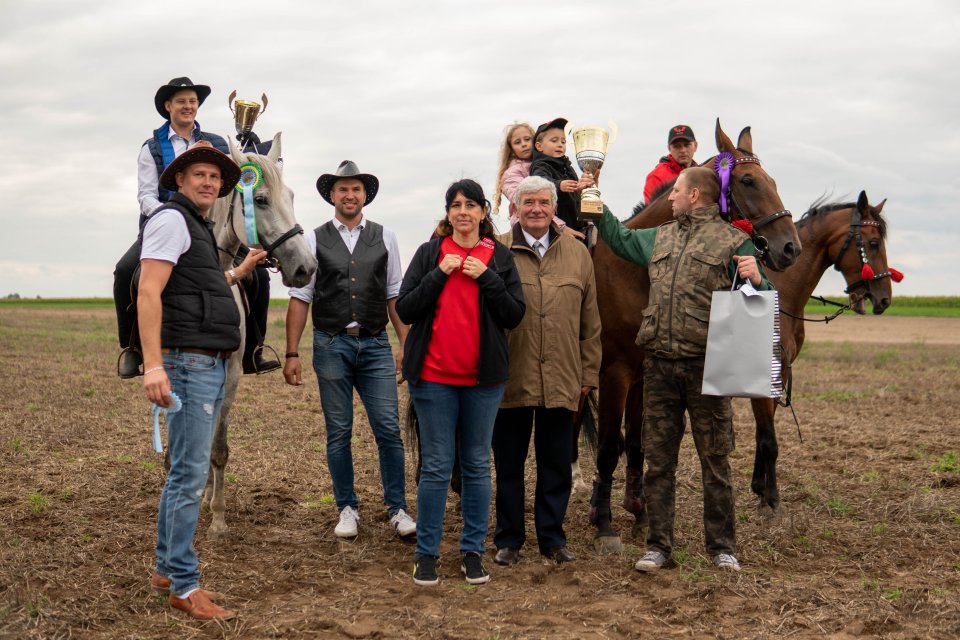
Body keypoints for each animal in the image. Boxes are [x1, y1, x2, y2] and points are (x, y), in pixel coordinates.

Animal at [592, 122, 804, 552]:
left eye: (773, 180)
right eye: (747, 180)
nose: (790, 247)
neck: (631, 271)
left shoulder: (642, 376)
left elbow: (637, 443)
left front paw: (639, 514)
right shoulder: (614, 375)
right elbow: (608, 448)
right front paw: (605, 526)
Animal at [752, 189, 896, 510]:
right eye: (872, 243)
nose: (884, 299)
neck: (780, 294)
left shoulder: (781, 374)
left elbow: (763, 433)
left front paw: (759, 488)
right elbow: (768, 440)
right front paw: (772, 499)